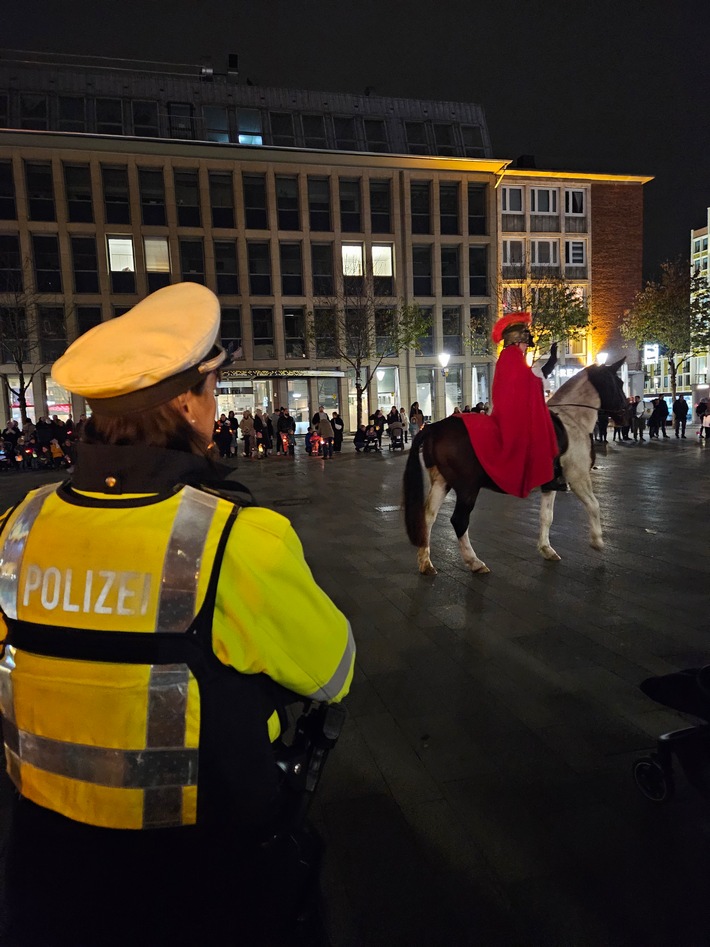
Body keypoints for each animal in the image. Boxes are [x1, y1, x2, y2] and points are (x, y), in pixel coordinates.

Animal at [406, 358, 628, 572]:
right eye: (619, 383)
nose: (626, 414)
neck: (571, 420)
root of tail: (434, 428)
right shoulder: (578, 476)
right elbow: (594, 505)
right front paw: (597, 540)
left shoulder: (551, 483)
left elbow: (546, 516)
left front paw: (546, 548)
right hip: (467, 488)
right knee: (459, 520)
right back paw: (474, 561)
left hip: (442, 483)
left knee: (428, 517)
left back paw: (426, 562)